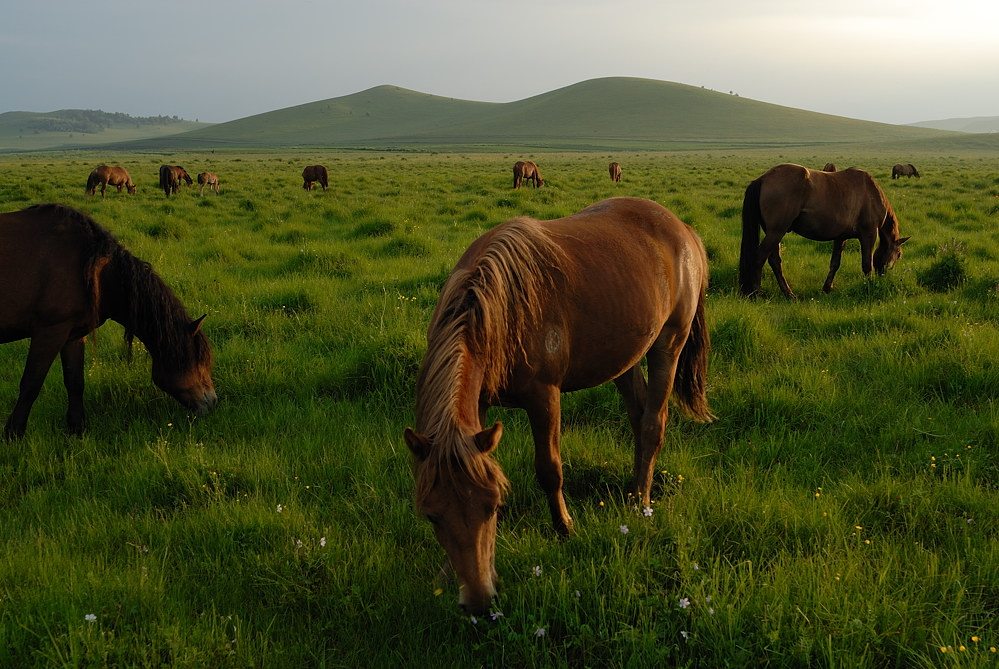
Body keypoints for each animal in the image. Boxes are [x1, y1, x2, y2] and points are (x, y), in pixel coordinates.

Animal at [0, 204, 218, 440]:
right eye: (198, 361)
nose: (213, 402)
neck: (95, 270)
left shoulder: (72, 335)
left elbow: (75, 382)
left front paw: (77, 430)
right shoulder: (50, 332)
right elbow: (31, 384)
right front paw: (13, 434)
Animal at [402, 196, 716, 612]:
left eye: (493, 506)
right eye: (431, 515)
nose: (480, 601)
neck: (500, 306)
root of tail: (683, 229)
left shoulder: (544, 396)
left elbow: (549, 469)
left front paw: (565, 528)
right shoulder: (479, 408)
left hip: (669, 344)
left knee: (653, 424)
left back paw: (641, 503)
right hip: (625, 356)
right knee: (638, 417)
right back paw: (634, 488)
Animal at [740, 163, 912, 298]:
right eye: (899, 254)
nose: (884, 275)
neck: (871, 193)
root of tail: (763, 179)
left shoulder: (841, 237)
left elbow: (835, 263)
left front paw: (827, 288)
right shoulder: (868, 234)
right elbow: (866, 264)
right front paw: (869, 286)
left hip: (774, 233)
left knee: (775, 261)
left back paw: (788, 294)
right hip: (776, 232)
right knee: (759, 258)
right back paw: (757, 293)